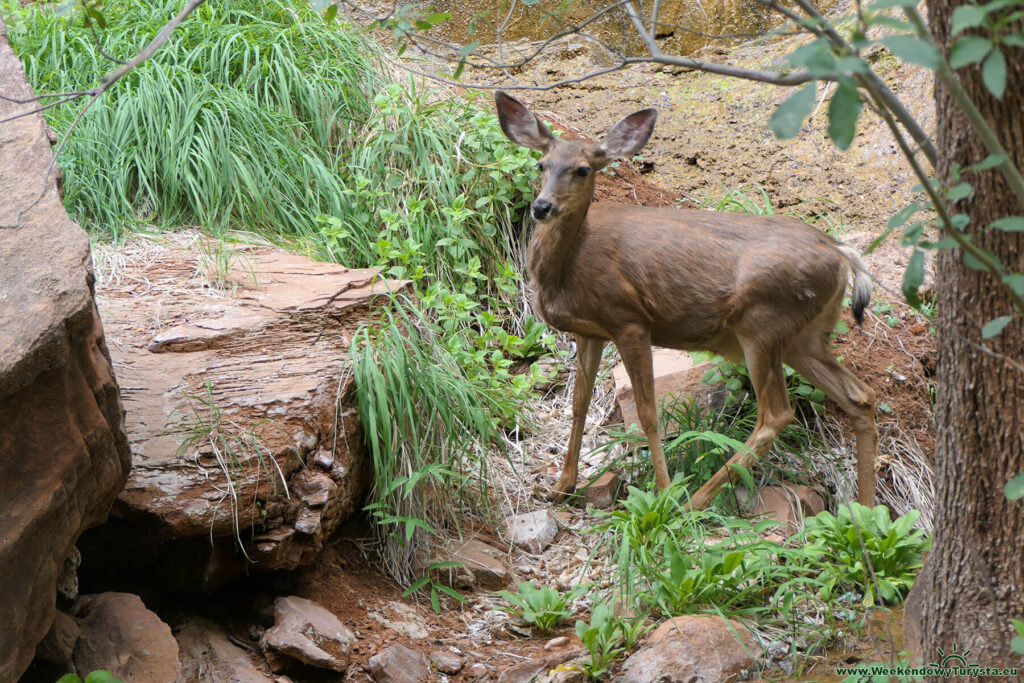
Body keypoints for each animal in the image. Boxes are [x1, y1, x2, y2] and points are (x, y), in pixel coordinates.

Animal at [491, 90, 876, 509]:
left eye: (582, 169)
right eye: (542, 164)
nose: (542, 207)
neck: (570, 270)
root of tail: (841, 253)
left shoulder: (630, 319)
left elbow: (648, 414)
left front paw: (662, 495)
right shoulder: (590, 330)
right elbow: (579, 405)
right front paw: (559, 487)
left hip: (763, 322)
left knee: (775, 416)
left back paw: (693, 502)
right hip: (803, 336)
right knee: (860, 397)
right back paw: (866, 512)